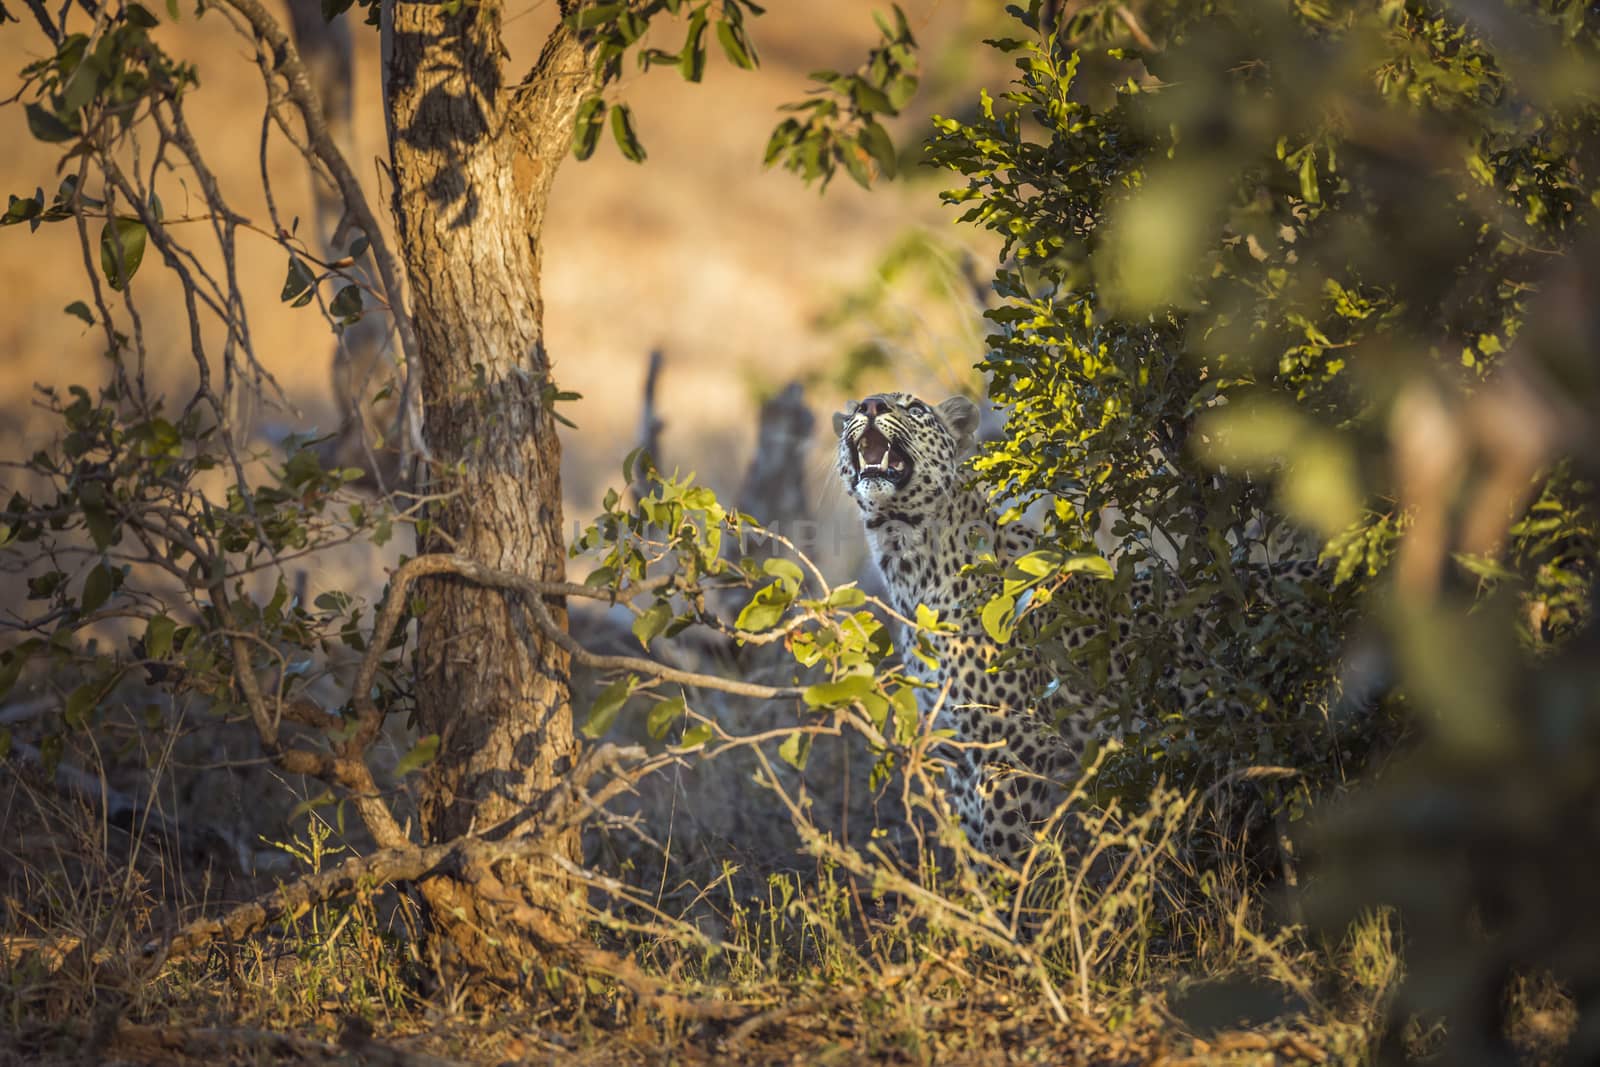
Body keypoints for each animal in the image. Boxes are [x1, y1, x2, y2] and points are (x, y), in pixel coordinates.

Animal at [832, 390, 1318, 870]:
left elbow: (1005, 850)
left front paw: (1011, 894)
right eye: (857, 409)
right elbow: (977, 855)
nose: (870, 407)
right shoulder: (960, 757)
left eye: (914, 408)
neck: (907, 561)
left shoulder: (1012, 749)